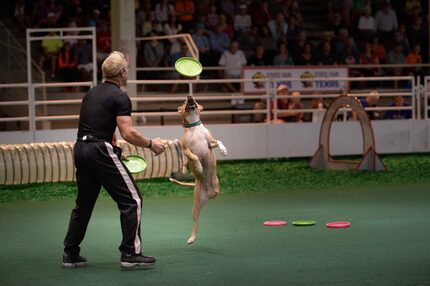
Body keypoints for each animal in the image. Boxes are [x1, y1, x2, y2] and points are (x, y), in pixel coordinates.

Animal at [170, 95, 228, 245]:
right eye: (185, 102)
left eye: (194, 100)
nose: (189, 96)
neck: (193, 127)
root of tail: (209, 194)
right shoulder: (185, 149)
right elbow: (194, 156)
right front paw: (198, 166)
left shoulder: (210, 143)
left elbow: (219, 141)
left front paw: (224, 150)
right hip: (195, 209)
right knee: (195, 224)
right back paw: (191, 238)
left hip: (215, 187)